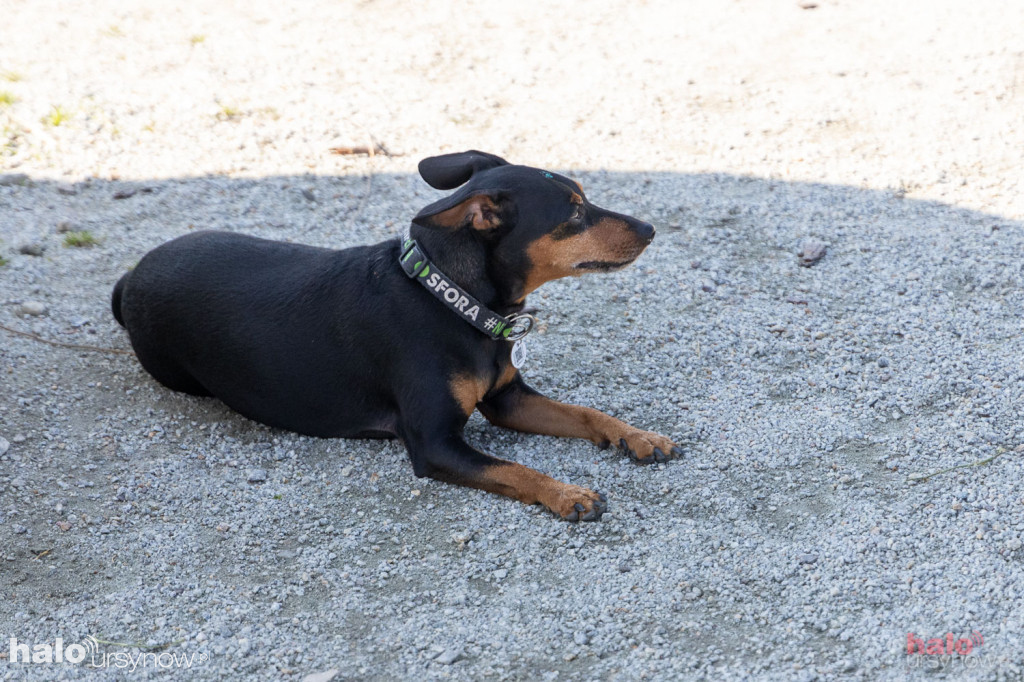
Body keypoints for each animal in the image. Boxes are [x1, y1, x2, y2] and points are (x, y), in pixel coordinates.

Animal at [114, 150, 679, 520]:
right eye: (574, 212)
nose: (652, 229)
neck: (452, 300)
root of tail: (129, 278)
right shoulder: (435, 444)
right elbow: (514, 467)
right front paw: (567, 494)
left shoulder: (508, 400)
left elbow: (586, 413)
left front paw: (638, 436)